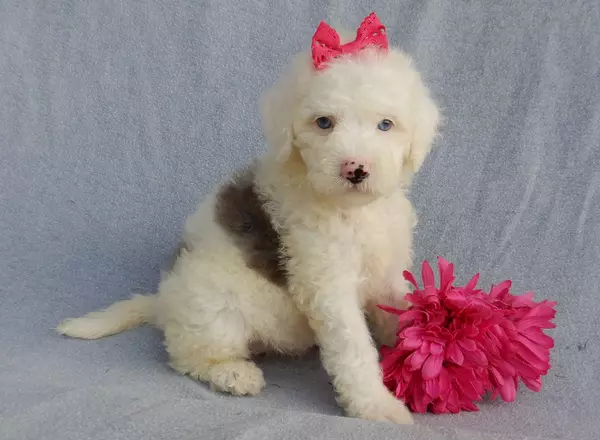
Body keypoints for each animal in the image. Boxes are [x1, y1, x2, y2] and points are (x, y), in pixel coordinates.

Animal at [56, 15, 440, 424]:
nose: (356, 169)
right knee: (188, 356)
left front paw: (423, 357)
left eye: (385, 125)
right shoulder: (327, 282)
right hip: (214, 308)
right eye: (324, 123)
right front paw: (378, 406)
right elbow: (354, 349)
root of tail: (163, 302)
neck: (351, 210)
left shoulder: (388, 271)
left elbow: (399, 312)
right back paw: (233, 373)